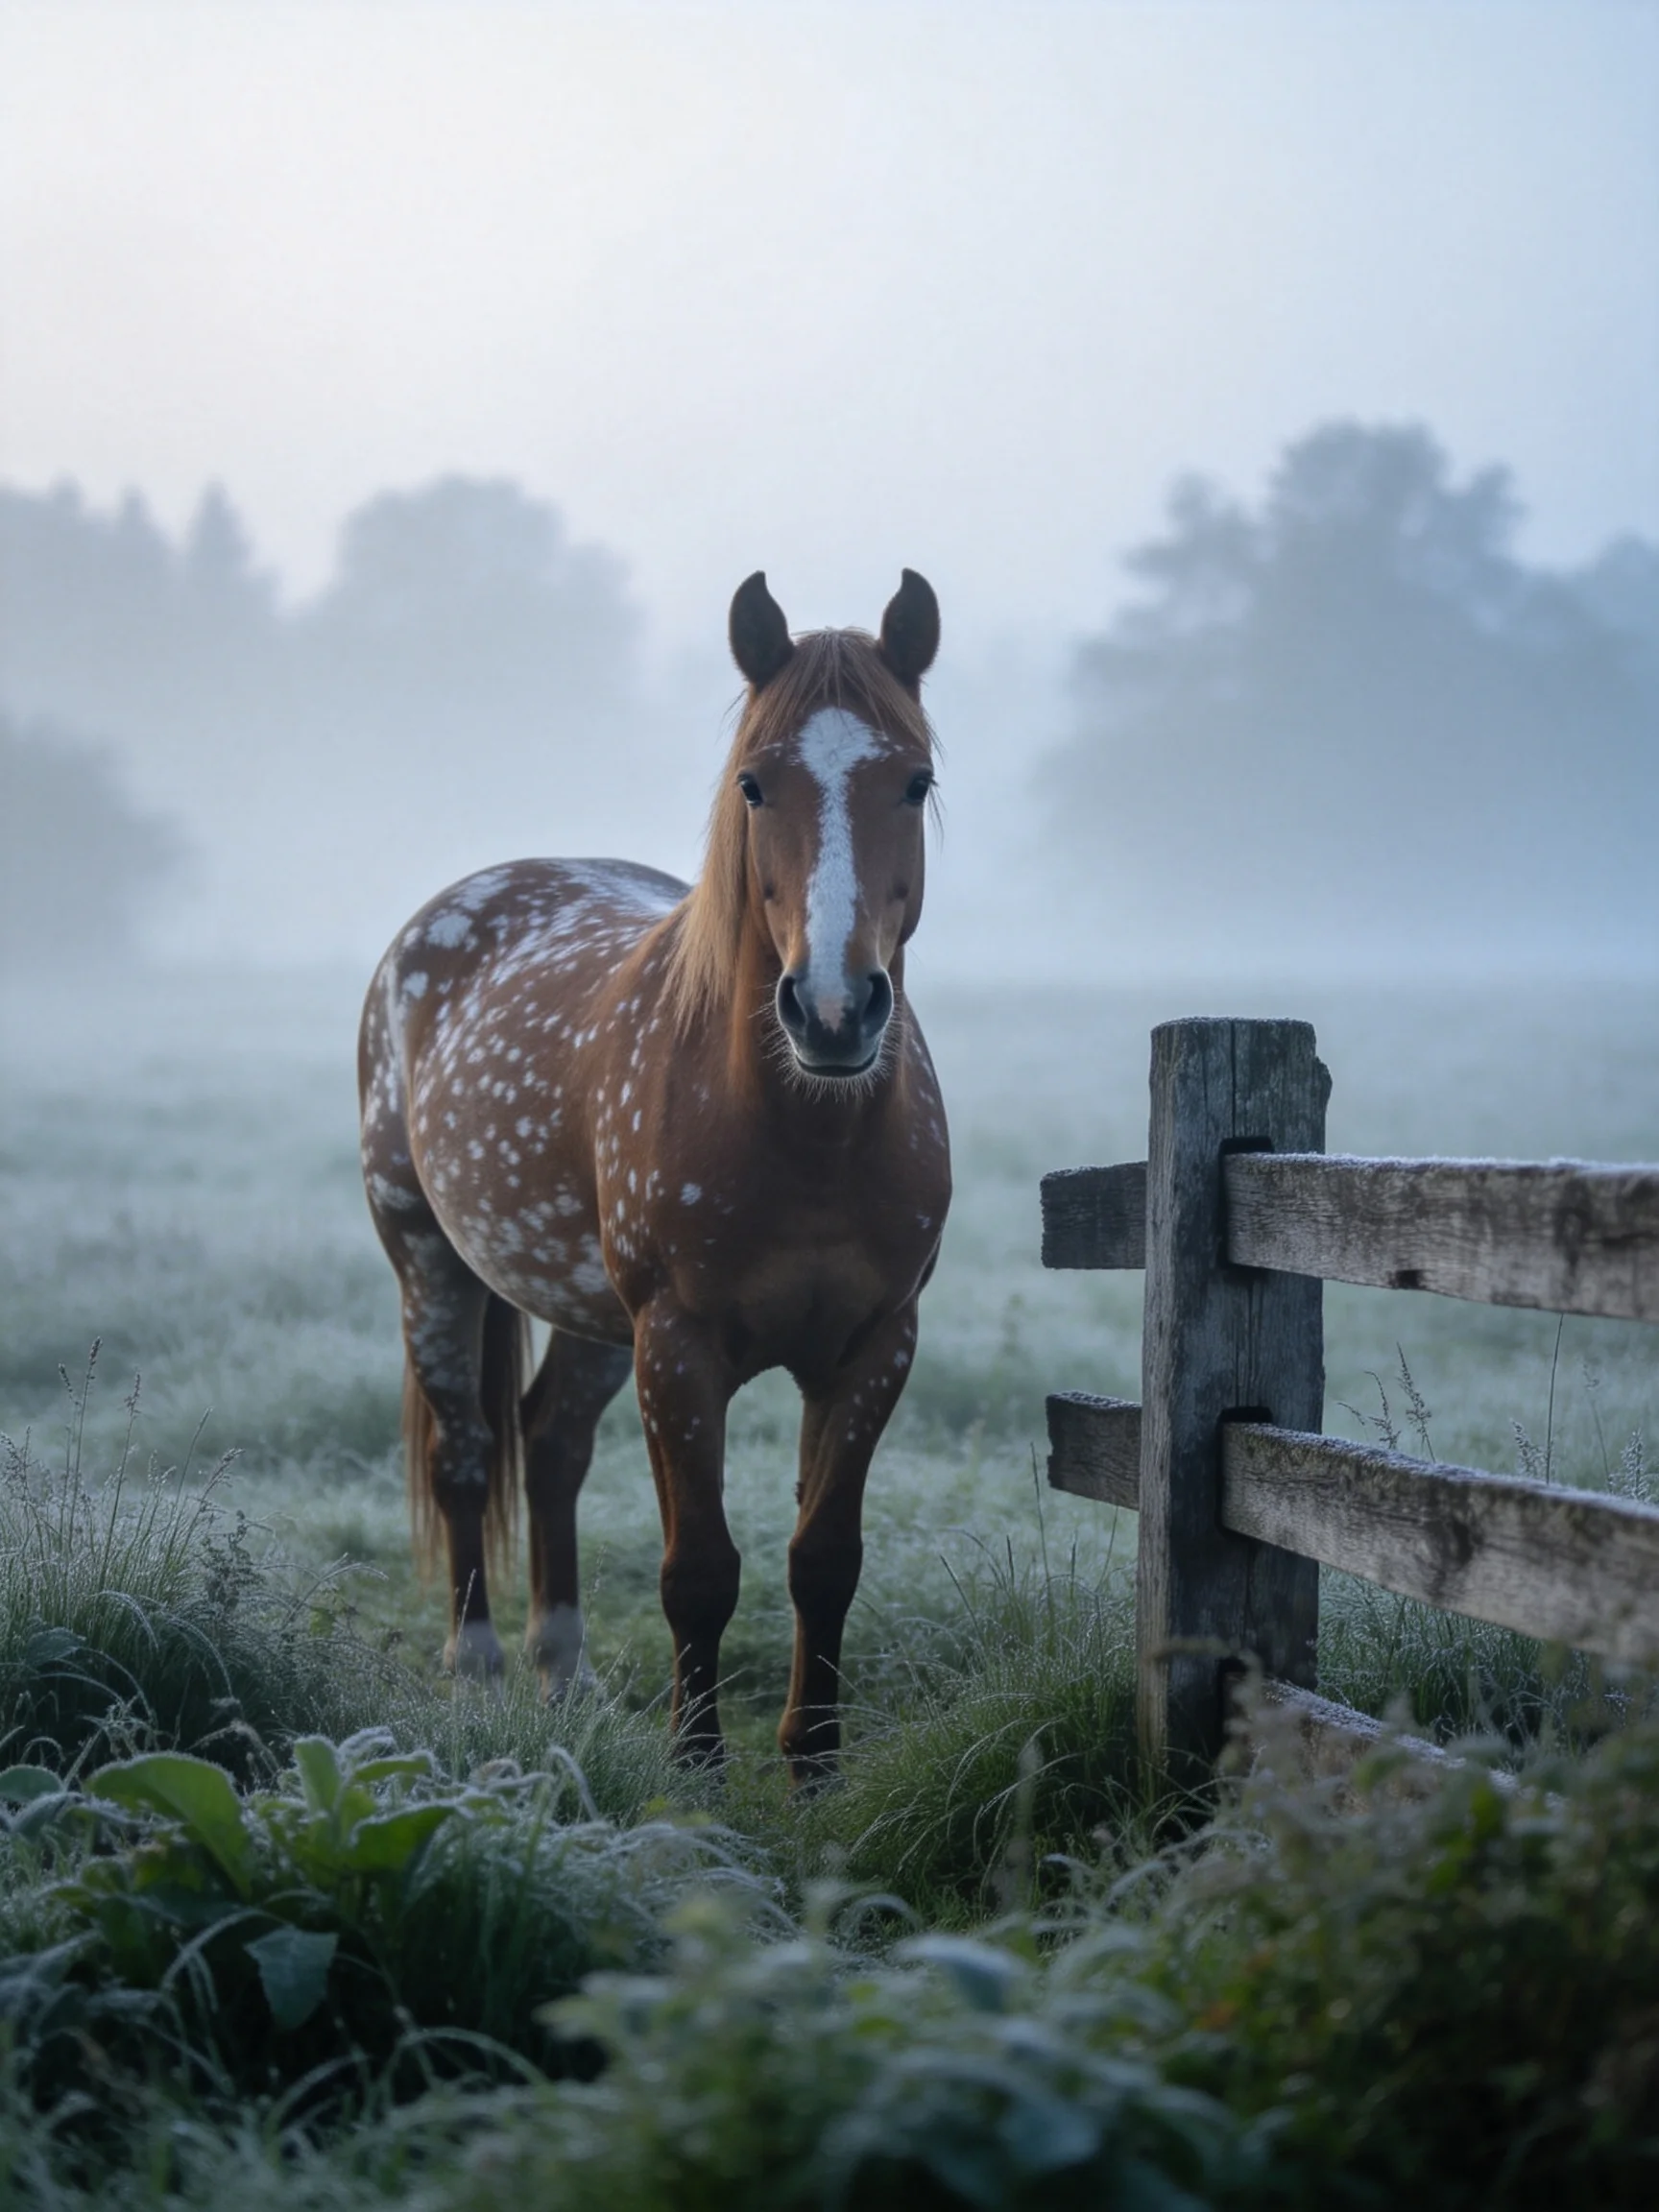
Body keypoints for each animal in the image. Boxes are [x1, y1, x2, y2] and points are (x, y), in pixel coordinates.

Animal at [358, 569, 950, 1779]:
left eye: (914, 781)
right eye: (754, 784)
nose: (833, 1011)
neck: (806, 1137)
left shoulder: (874, 1347)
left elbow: (825, 1557)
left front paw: (813, 1757)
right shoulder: (679, 1350)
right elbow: (700, 1570)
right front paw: (699, 1763)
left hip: (592, 1316)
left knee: (550, 1445)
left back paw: (565, 1670)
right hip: (428, 1258)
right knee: (466, 1451)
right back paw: (480, 1665)